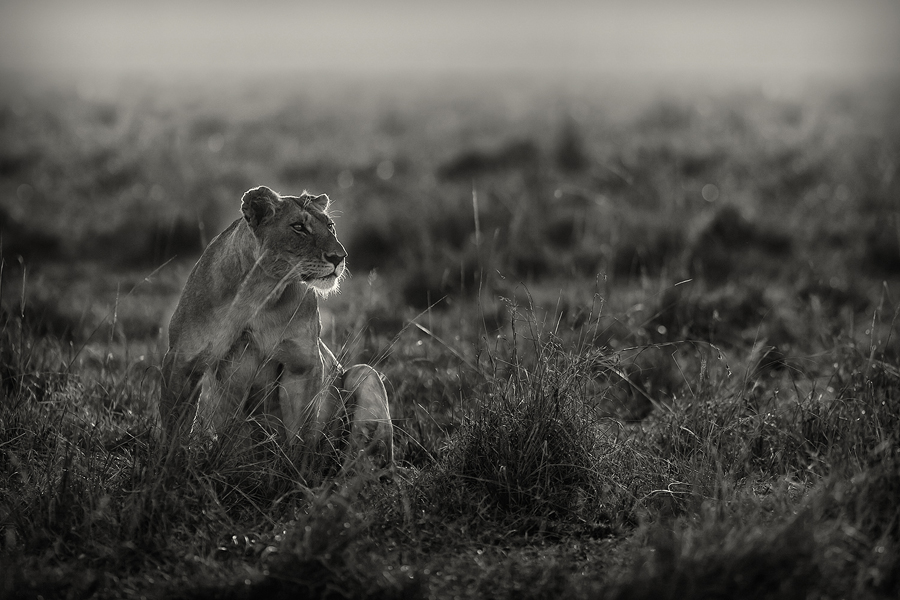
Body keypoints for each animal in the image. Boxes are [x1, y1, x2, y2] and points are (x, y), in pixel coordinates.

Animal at [160, 185, 393, 470]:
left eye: (330, 226)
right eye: (299, 227)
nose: (339, 257)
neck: (260, 291)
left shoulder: (302, 363)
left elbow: (301, 432)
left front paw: (294, 473)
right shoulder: (183, 359)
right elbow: (175, 426)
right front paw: (168, 468)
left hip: (365, 374)